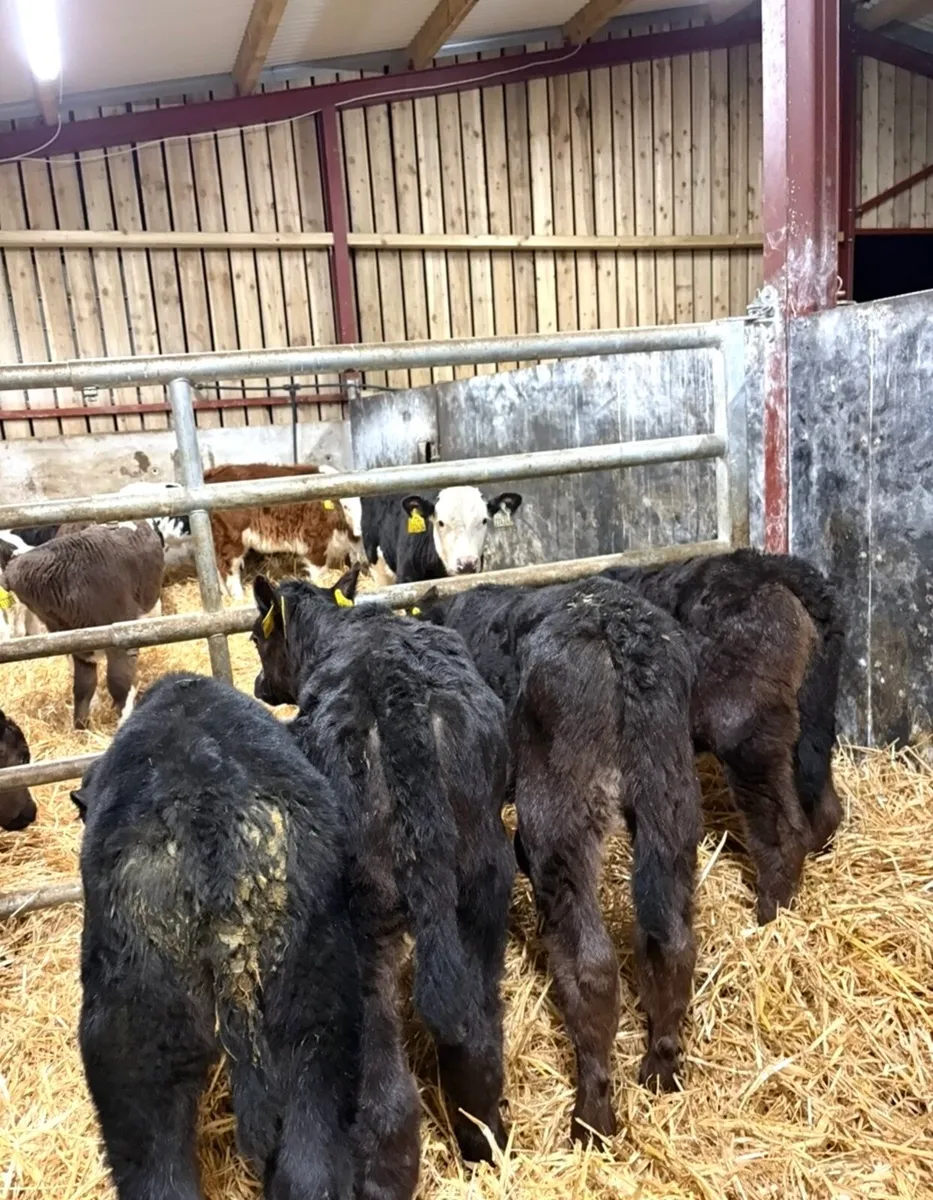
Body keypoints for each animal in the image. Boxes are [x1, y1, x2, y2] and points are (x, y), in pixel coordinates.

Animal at [204, 462, 362, 600]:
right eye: (346, 507)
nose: (358, 531)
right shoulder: (315, 543)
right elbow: (319, 574)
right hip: (231, 540)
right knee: (229, 570)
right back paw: (239, 598)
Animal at [250, 565, 514, 1194]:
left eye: (256, 639)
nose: (258, 685)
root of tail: (398, 695)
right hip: (484, 883)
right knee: (477, 1035)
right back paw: (483, 1143)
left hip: (361, 916)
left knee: (384, 1090)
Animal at [416, 577, 701, 1143]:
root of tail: (617, 630)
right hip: (670, 799)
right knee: (672, 941)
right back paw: (661, 1070)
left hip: (559, 815)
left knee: (591, 966)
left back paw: (591, 1118)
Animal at [603, 548, 846, 924]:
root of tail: (777, 569)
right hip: (812, 721)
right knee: (823, 803)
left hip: (747, 735)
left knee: (783, 831)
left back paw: (770, 915)